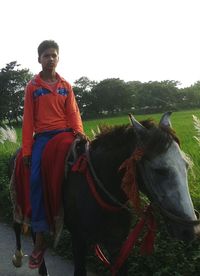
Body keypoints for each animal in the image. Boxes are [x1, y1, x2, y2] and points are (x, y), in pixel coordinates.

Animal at [11, 112, 200, 276]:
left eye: (186, 165)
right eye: (159, 170)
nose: (190, 230)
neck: (99, 190)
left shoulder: (117, 243)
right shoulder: (78, 240)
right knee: (22, 228)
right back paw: (21, 257)